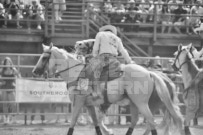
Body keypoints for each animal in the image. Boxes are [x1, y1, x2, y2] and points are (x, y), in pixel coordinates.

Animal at [32, 44, 183, 135]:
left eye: (44, 57)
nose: (35, 71)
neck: (76, 73)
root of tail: (150, 73)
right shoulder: (89, 105)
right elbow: (96, 123)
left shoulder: (78, 102)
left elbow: (73, 121)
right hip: (135, 103)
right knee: (136, 120)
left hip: (142, 103)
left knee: (151, 121)